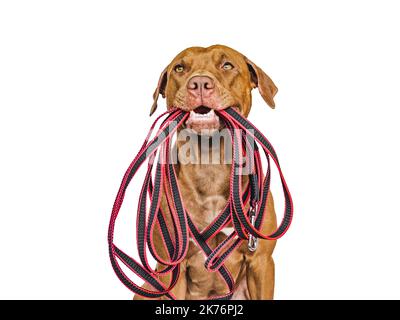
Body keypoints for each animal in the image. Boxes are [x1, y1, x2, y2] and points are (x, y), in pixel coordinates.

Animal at [134, 45, 278, 300]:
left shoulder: (261, 263)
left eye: (227, 65)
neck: (210, 162)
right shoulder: (172, 269)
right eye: (179, 68)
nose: (199, 83)